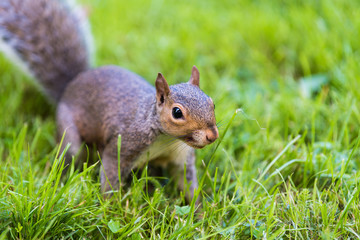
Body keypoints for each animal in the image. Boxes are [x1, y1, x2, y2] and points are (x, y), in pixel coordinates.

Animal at [0, 0, 218, 202]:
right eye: (177, 112)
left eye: (212, 103)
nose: (212, 136)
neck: (167, 140)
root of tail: (72, 84)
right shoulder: (124, 145)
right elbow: (111, 175)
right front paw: (110, 207)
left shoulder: (181, 158)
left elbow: (187, 185)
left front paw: (199, 210)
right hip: (68, 129)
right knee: (69, 153)